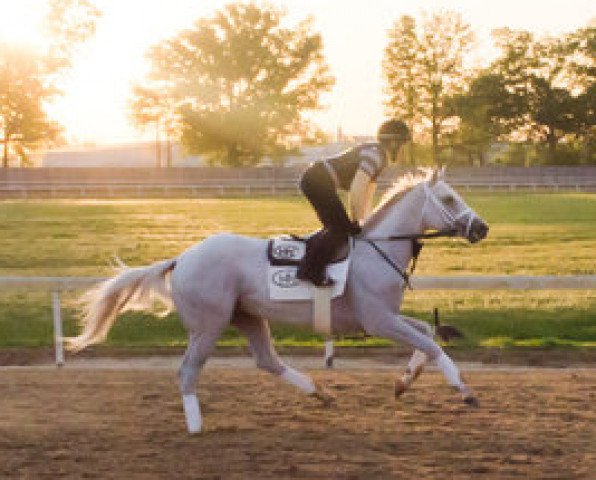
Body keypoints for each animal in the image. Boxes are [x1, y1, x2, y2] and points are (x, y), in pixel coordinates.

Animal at [66, 170, 488, 436]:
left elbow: (428, 333)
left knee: (267, 361)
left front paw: (403, 383)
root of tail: (181, 258)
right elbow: (432, 344)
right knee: (187, 371)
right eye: (449, 198)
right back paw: (196, 426)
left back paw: (321, 393)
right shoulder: (377, 320)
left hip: (249, 317)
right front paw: (464, 391)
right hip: (208, 326)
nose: (481, 227)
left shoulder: (387, 317)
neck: (376, 251)